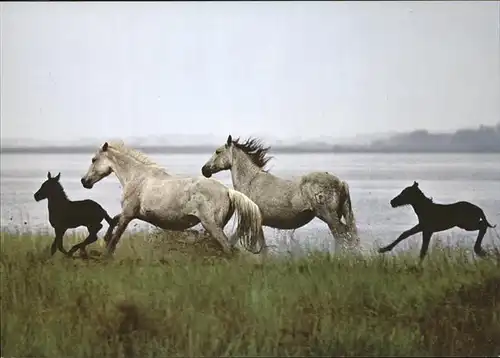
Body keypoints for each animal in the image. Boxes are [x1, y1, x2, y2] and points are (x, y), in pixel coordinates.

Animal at [79, 141, 266, 258]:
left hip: (212, 225)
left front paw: (106, 254)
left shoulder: (128, 214)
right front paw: (104, 239)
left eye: (94, 159)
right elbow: (113, 221)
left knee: (228, 249)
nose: (84, 181)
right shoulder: (132, 213)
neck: (137, 177)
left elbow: (115, 238)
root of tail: (228, 191)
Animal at [201, 136, 362, 253]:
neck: (251, 181)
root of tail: (341, 183)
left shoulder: (248, 221)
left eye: (218, 151)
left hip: (329, 217)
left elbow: (232, 240)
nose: (205, 170)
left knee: (343, 237)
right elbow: (262, 248)